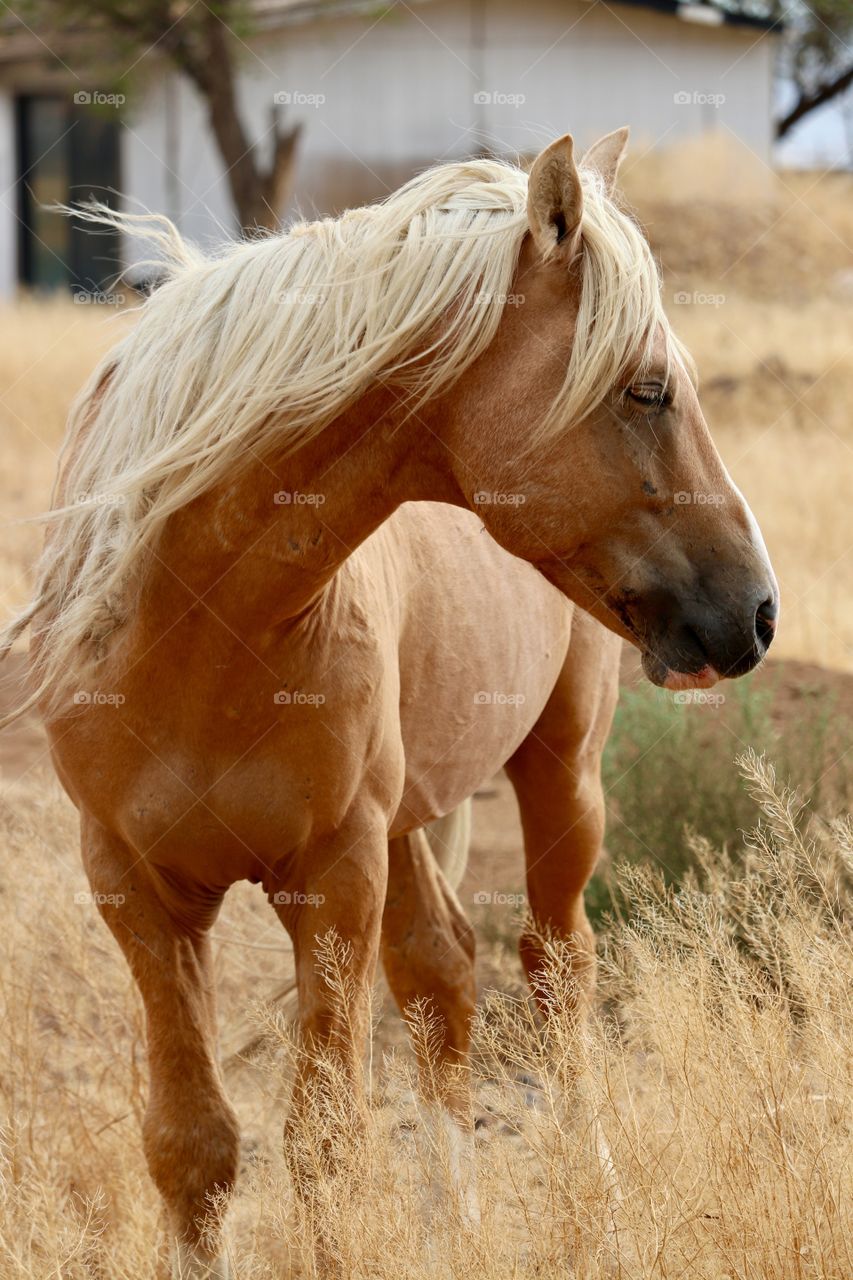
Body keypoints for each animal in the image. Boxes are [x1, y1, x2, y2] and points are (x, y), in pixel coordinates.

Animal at [0, 127, 773, 1269]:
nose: (755, 610)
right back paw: (455, 1226)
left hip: (560, 773)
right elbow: (191, 1143)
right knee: (440, 976)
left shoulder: (333, 875)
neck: (196, 626)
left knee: (556, 971)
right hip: (409, 819)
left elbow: (324, 1140)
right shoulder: (135, 887)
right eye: (644, 390)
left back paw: (600, 1213)